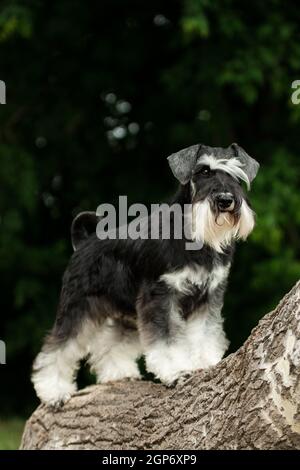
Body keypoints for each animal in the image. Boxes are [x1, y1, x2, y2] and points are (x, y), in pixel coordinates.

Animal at [31, 142, 258, 404]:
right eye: (203, 172)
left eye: (237, 176)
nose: (225, 200)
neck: (197, 240)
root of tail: (84, 242)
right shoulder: (160, 297)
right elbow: (166, 340)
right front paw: (177, 371)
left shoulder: (208, 297)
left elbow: (204, 333)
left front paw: (206, 362)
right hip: (78, 307)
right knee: (57, 347)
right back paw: (54, 391)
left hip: (126, 313)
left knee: (110, 343)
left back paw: (119, 372)